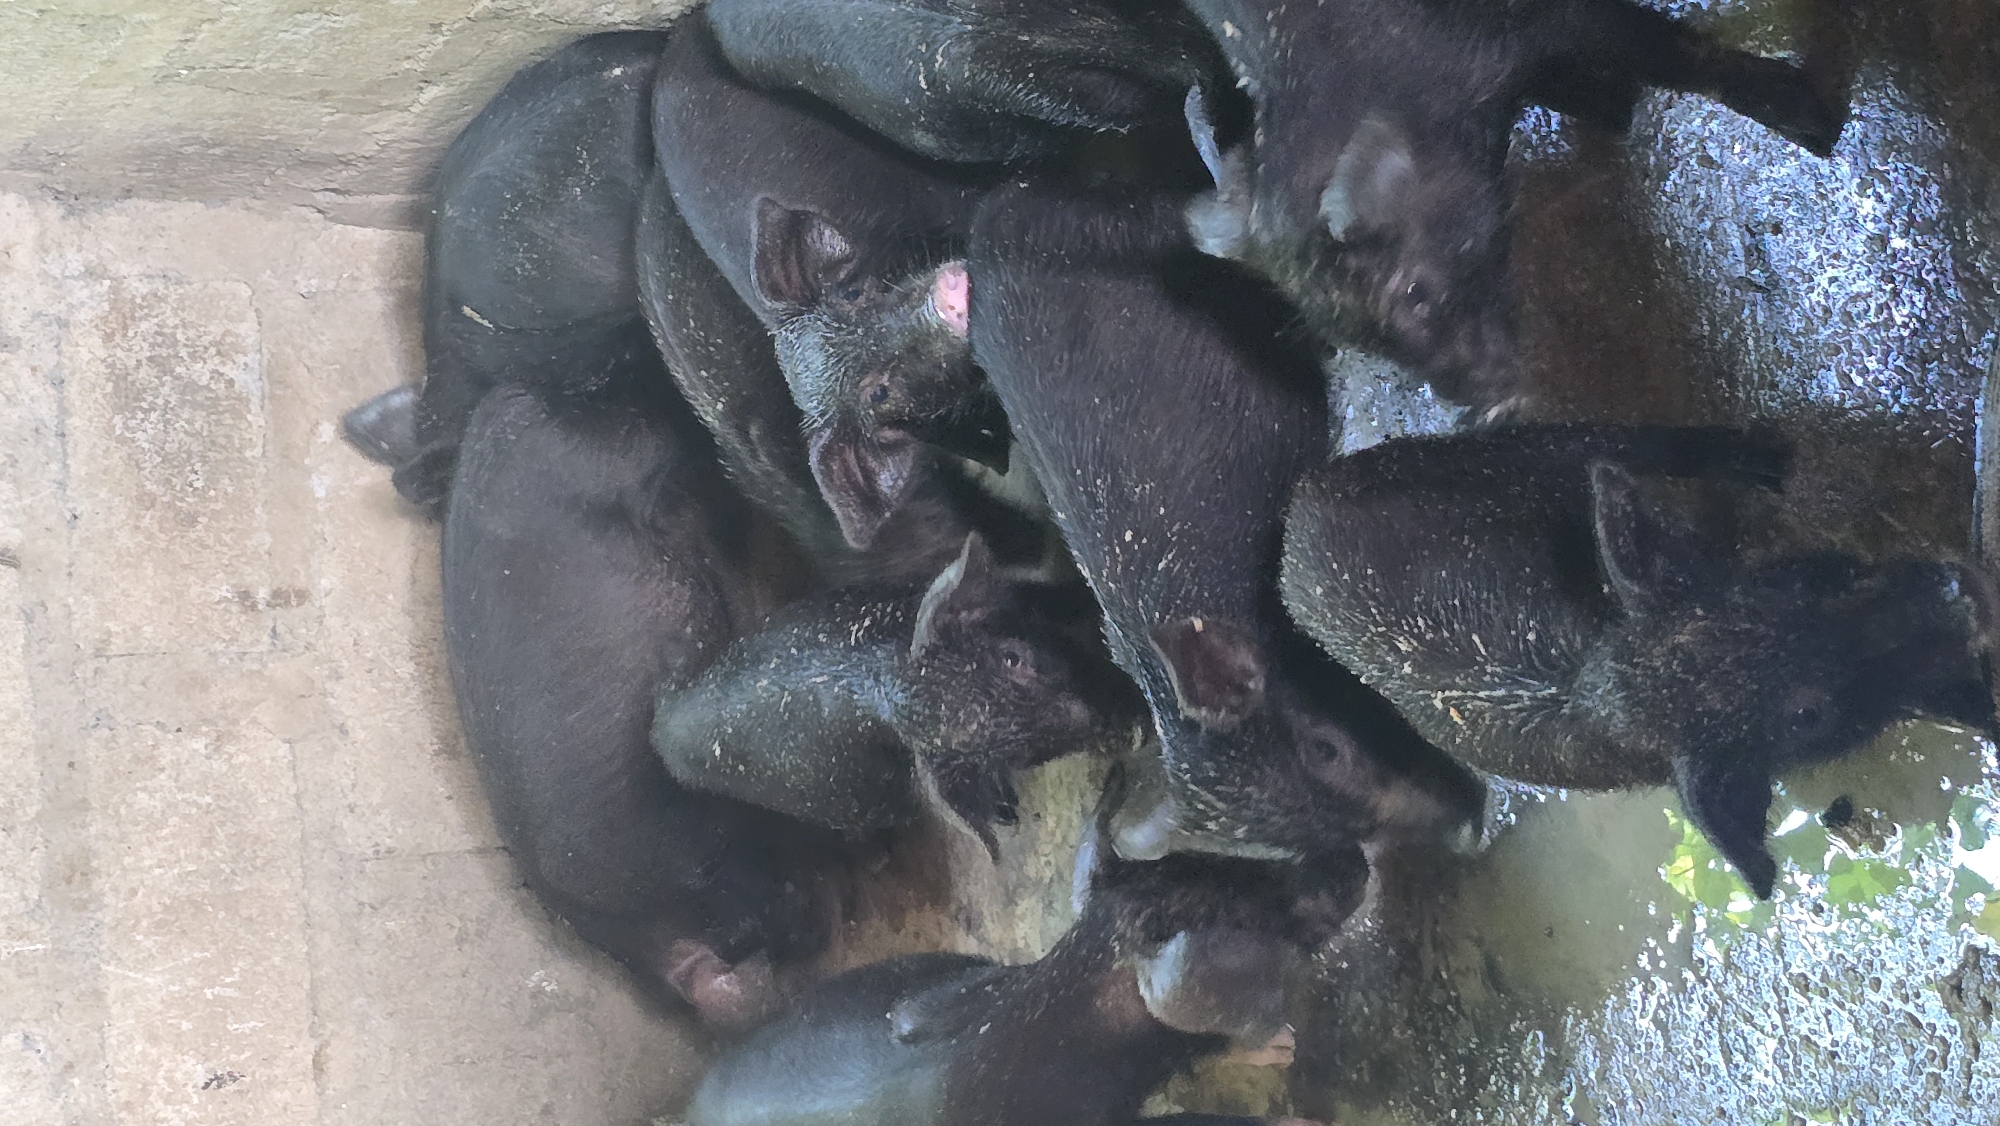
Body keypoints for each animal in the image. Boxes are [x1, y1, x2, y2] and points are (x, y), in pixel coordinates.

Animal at [1179, 0, 1849, 409]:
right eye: (1359, 342)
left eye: (1415, 291)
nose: (1500, 402)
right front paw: (1617, 108)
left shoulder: (1528, 28)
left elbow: (1667, 51)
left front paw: (1817, 125)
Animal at [1280, 424, 1998, 897]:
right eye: (1807, 714)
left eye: (1785, 588)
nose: (1960, 589)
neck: (1591, 688)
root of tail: (1297, 511)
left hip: (1476, 459)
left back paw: (1775, 459)